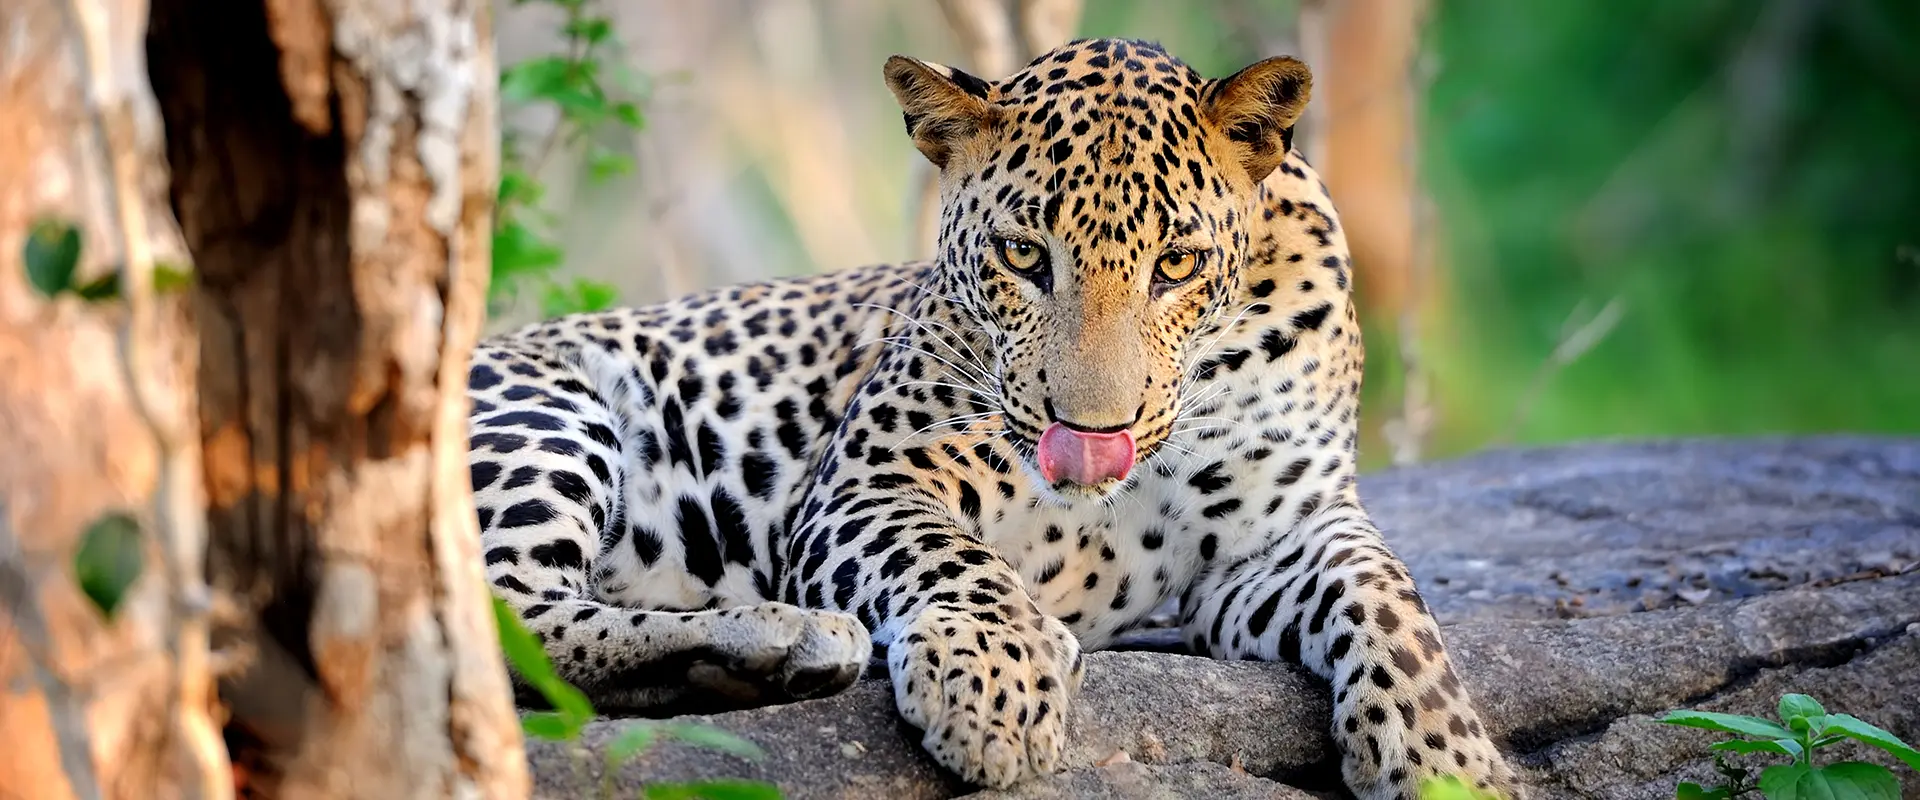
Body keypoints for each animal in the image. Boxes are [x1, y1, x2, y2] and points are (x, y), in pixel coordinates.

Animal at [468, 37, 1522, 799]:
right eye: (1023, 255)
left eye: (1176, 265)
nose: (1093, 434)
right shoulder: (869, 481)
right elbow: (956, 559)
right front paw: (996, 684)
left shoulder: (1280, 535)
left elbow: (1391, 598)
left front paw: (1449, 762)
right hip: (545, 410)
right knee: (508, 624)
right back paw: (780, 640)